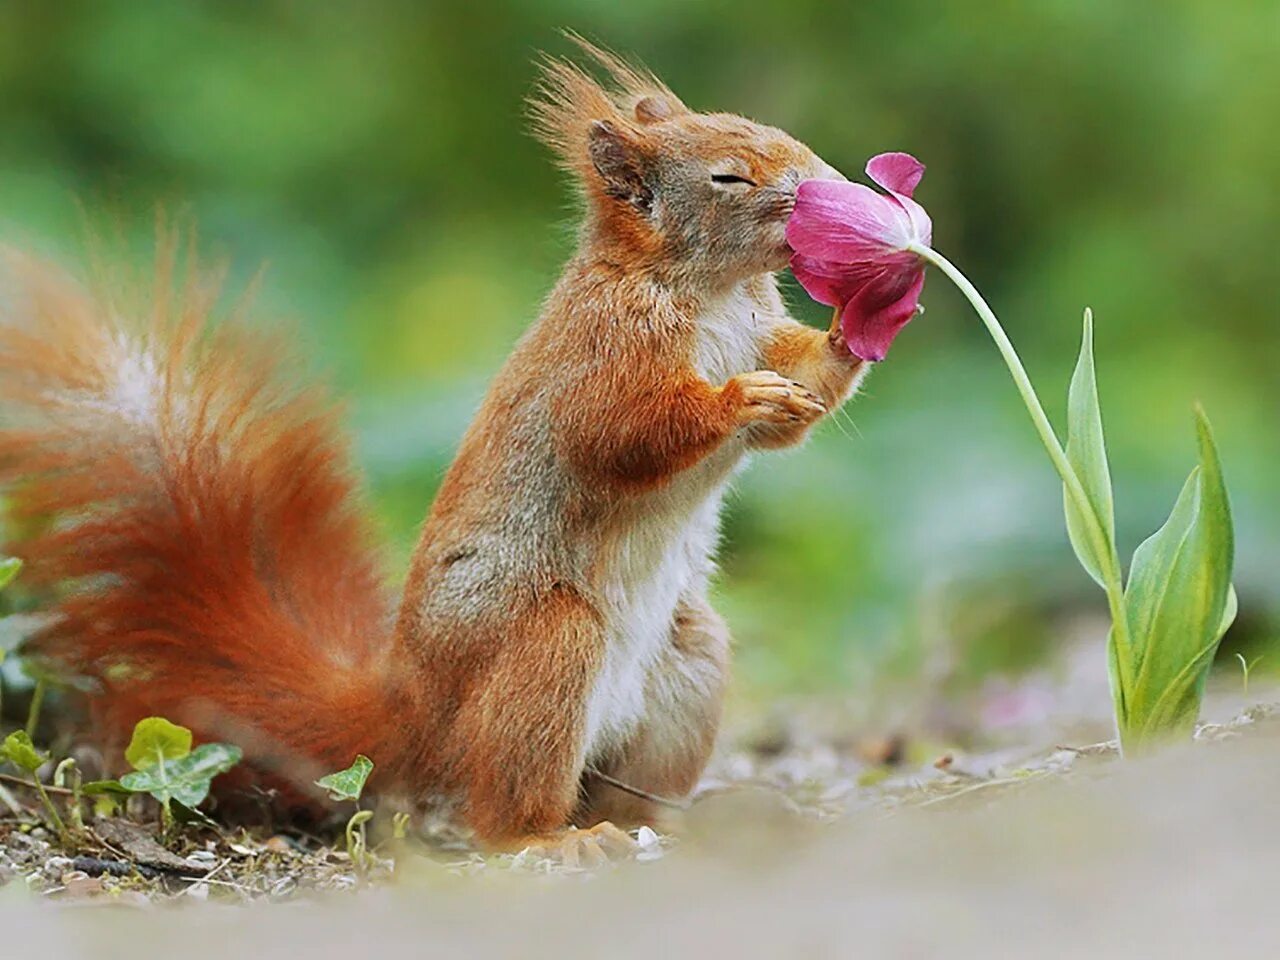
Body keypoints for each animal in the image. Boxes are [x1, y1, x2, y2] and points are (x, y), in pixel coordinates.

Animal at [0, 43, 870, 849]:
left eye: (773, 131)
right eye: (729, 177)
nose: (828, 183)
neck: (709, 291)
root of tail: (411, 714)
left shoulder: (757, 330)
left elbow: (799, 399)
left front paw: (854, 324)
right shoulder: (603, 349)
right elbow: (619, 435)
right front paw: (738, 397)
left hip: (688, 663)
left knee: (629, 784)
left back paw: (667, 827)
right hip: (547, 647)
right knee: (500, 809)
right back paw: (550, 840)